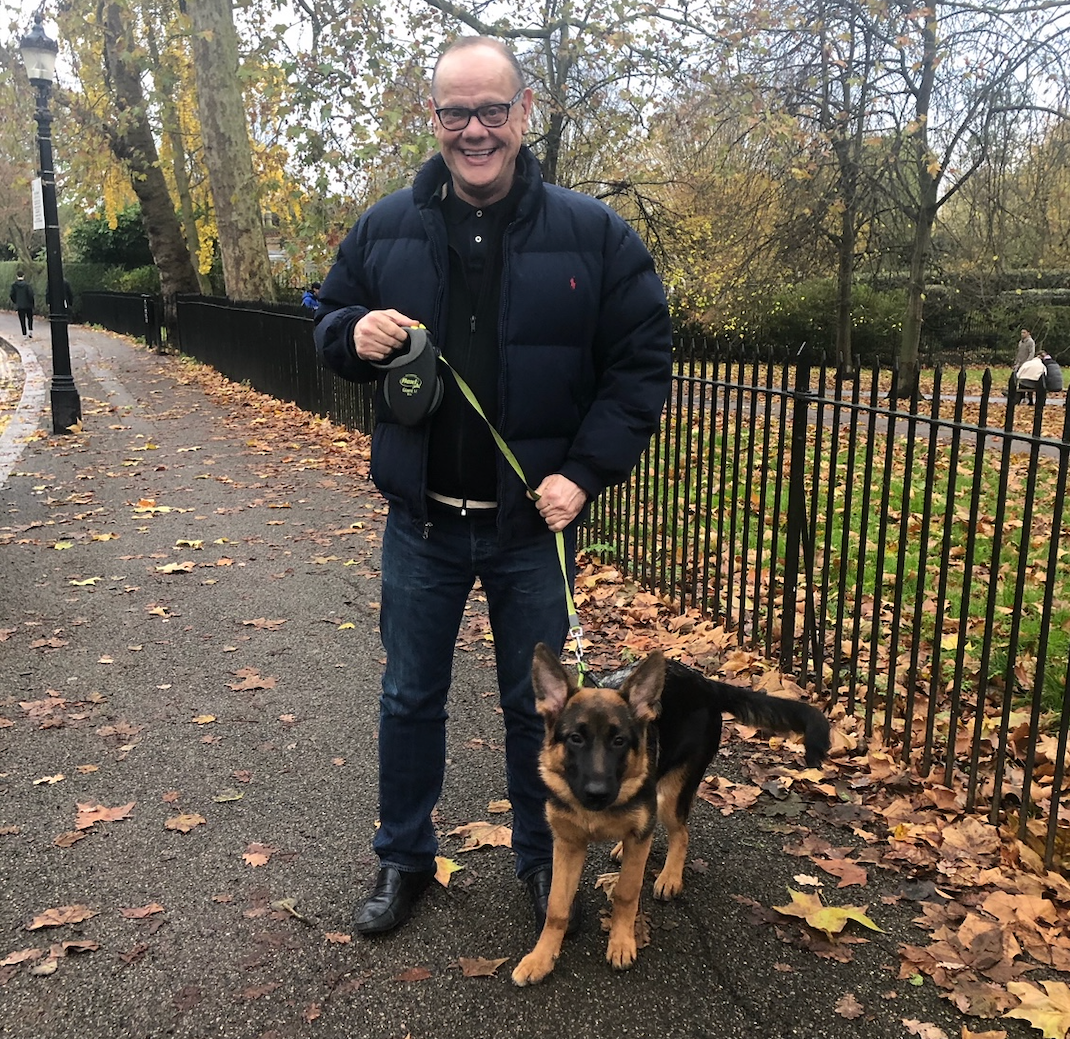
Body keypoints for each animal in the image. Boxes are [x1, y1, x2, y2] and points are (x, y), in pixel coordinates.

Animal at [513, 642, 830, 984]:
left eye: (619, 741)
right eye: (575, 738)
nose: (597, 794)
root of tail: (704, 683)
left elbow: (626, 893)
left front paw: (621, 942)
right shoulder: (567, 844)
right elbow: (557, 907)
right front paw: (541, 958)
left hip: (670, 796)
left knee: (680, 833)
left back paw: (670, 876)